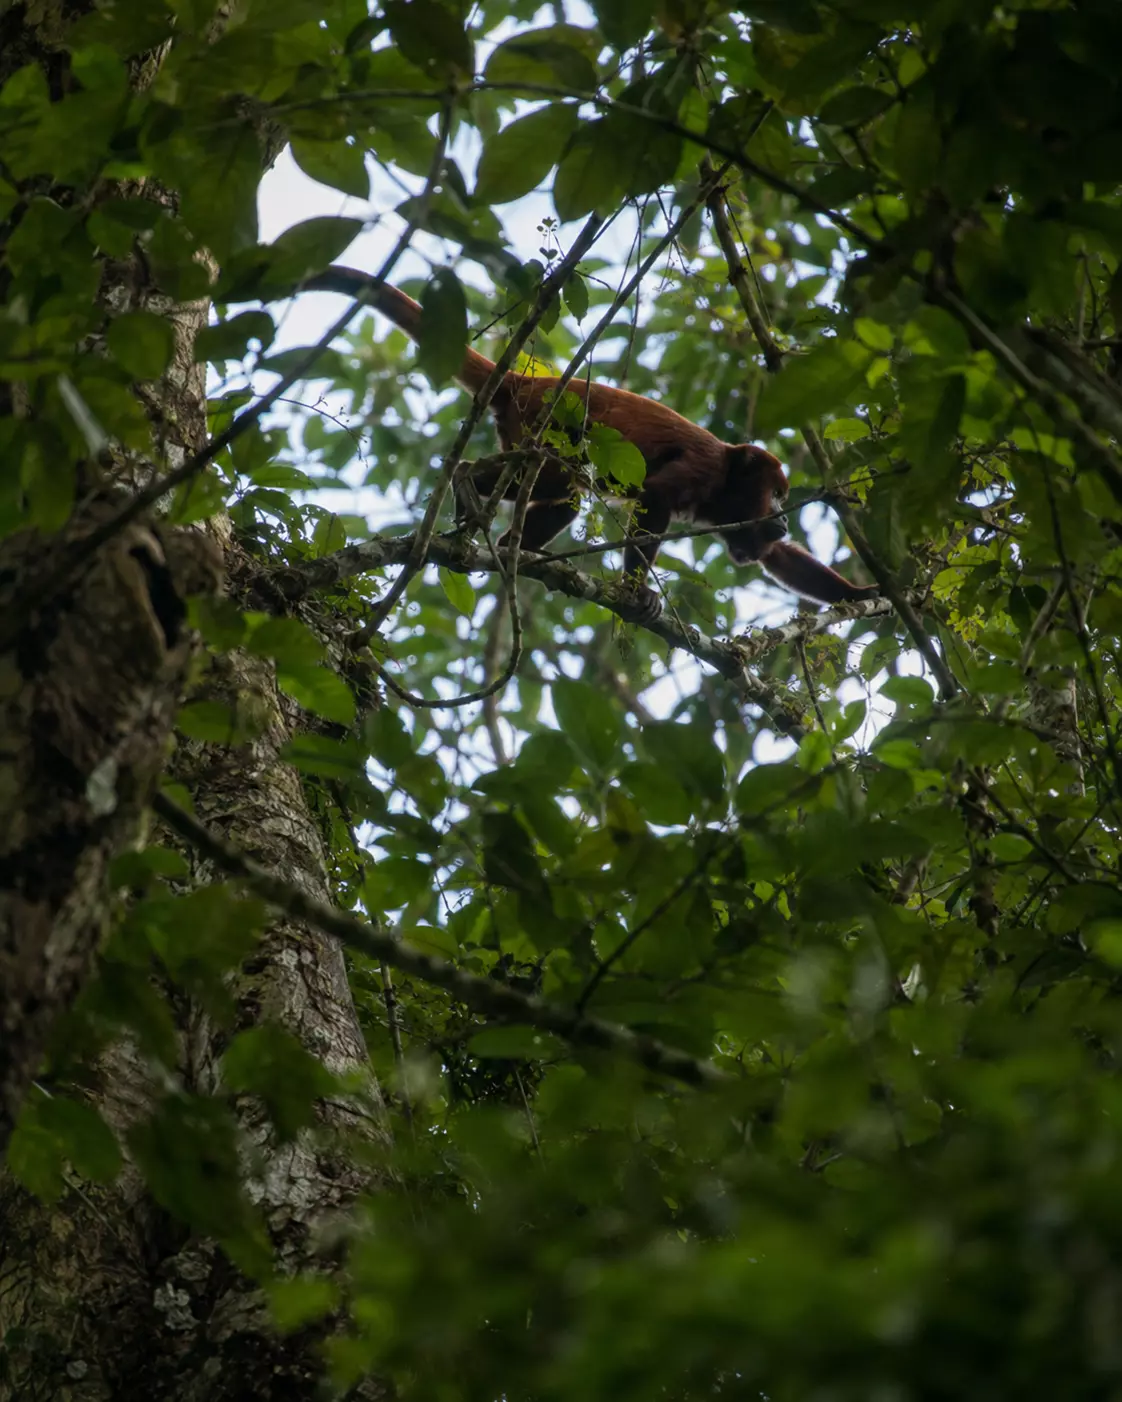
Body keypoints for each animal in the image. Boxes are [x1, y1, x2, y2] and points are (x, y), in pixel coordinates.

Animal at [305, 267, 878, 619]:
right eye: (776, 493)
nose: (782, 515)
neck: (727, 482)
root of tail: (528, 378)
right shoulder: (703, 467)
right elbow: (654, 498)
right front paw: (637, 592)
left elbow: (779, 557)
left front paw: (862, 593)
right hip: (539, 421)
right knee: (549, 476)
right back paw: (468, 481)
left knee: (564, 499)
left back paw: (512, 546)